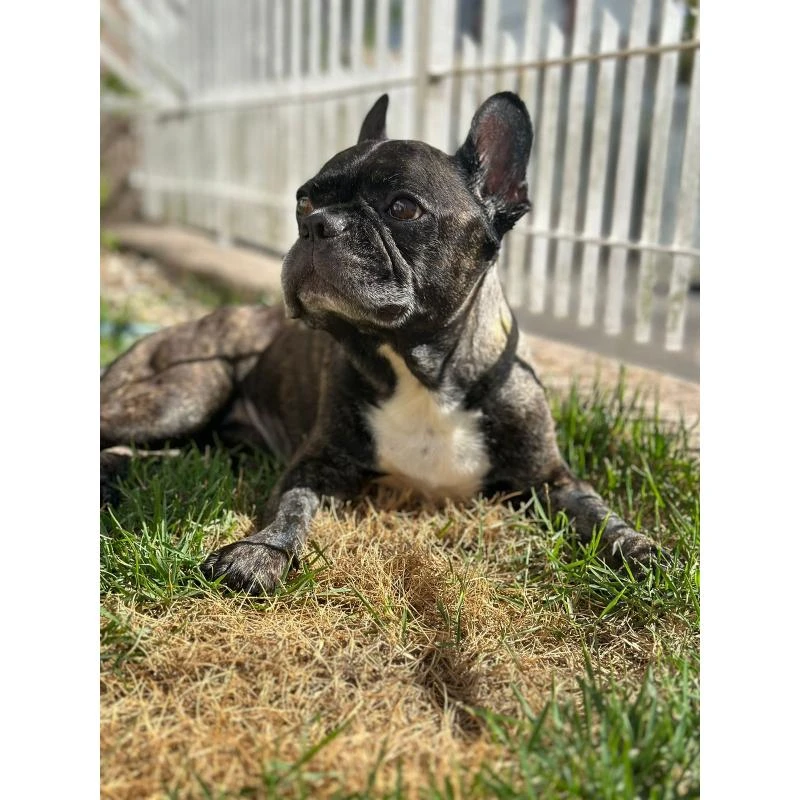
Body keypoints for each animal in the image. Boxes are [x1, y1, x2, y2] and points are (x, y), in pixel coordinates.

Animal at [100, 92, 662, 594]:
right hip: (186, 394)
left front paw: (639, 548)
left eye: (403, 208)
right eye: (304, 200)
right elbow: (290, 508)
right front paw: (260, 554)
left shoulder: (550, 478)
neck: (424, 370)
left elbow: (597, 510)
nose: (315, 225)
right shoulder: (316, 463)